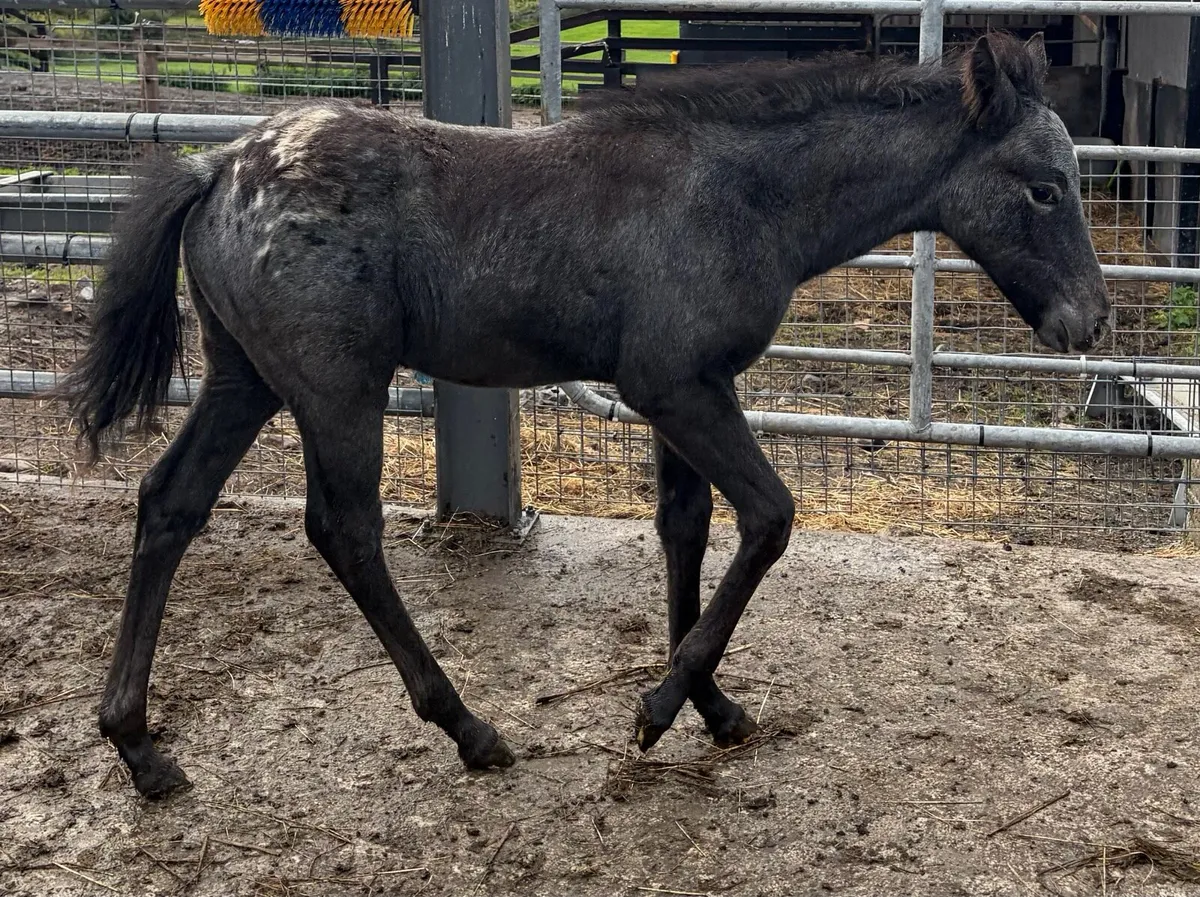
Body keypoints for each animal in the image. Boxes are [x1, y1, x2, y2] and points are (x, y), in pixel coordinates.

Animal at [58, 31, 1110, 799]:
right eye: (1044, 186)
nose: (1090, 321)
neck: (739, 195)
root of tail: (219, 166)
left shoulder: (692, 390)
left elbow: (688, 530)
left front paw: (712, 705)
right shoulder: (674, 386)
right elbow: (769, 518)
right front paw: (658, 708)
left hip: (245, 379)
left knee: (170, 502)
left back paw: (138, 746)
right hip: (334, 388)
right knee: (344, 531)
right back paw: (469, 728)